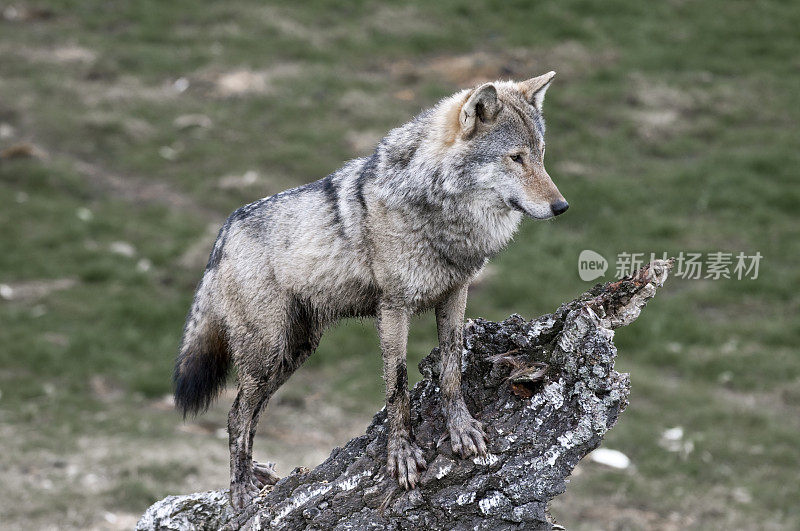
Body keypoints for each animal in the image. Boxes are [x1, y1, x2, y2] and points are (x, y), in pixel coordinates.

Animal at [173, 72, 568, 510]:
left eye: (541, 155)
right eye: (516, 158)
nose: (562, 206)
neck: (438, 210)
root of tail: (224, 232)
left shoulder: (455, 294)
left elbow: (451, 369)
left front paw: (461, 429)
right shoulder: (393, 309)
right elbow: (397, 387)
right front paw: (402, 455)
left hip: (292, 354)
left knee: (249, 413)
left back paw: (257, 474)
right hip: (268, 353)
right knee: (236, 416)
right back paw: (240, 489)